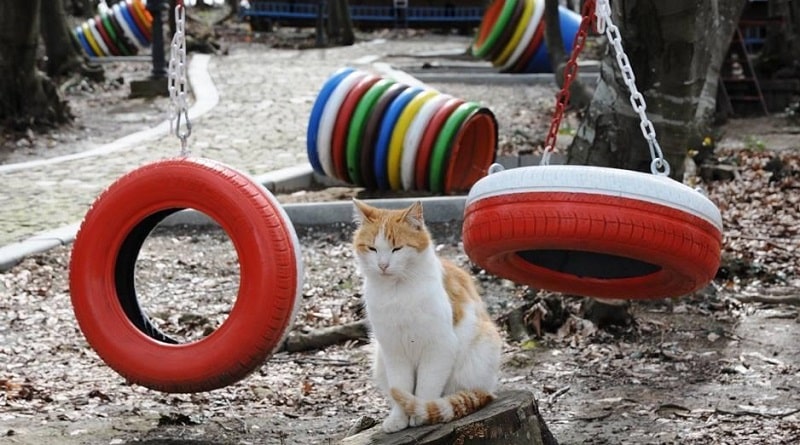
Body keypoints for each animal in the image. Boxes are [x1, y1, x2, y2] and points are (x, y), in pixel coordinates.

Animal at [350, 199, 500, 432]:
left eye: (397, 248)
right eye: (372, 248)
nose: (383, 265)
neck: (398, 291)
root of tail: (490, 389)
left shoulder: (439, 347)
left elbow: (426, 386)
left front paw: (421, 414)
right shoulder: (394, 351)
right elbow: (400, 386)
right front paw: (399, 419)